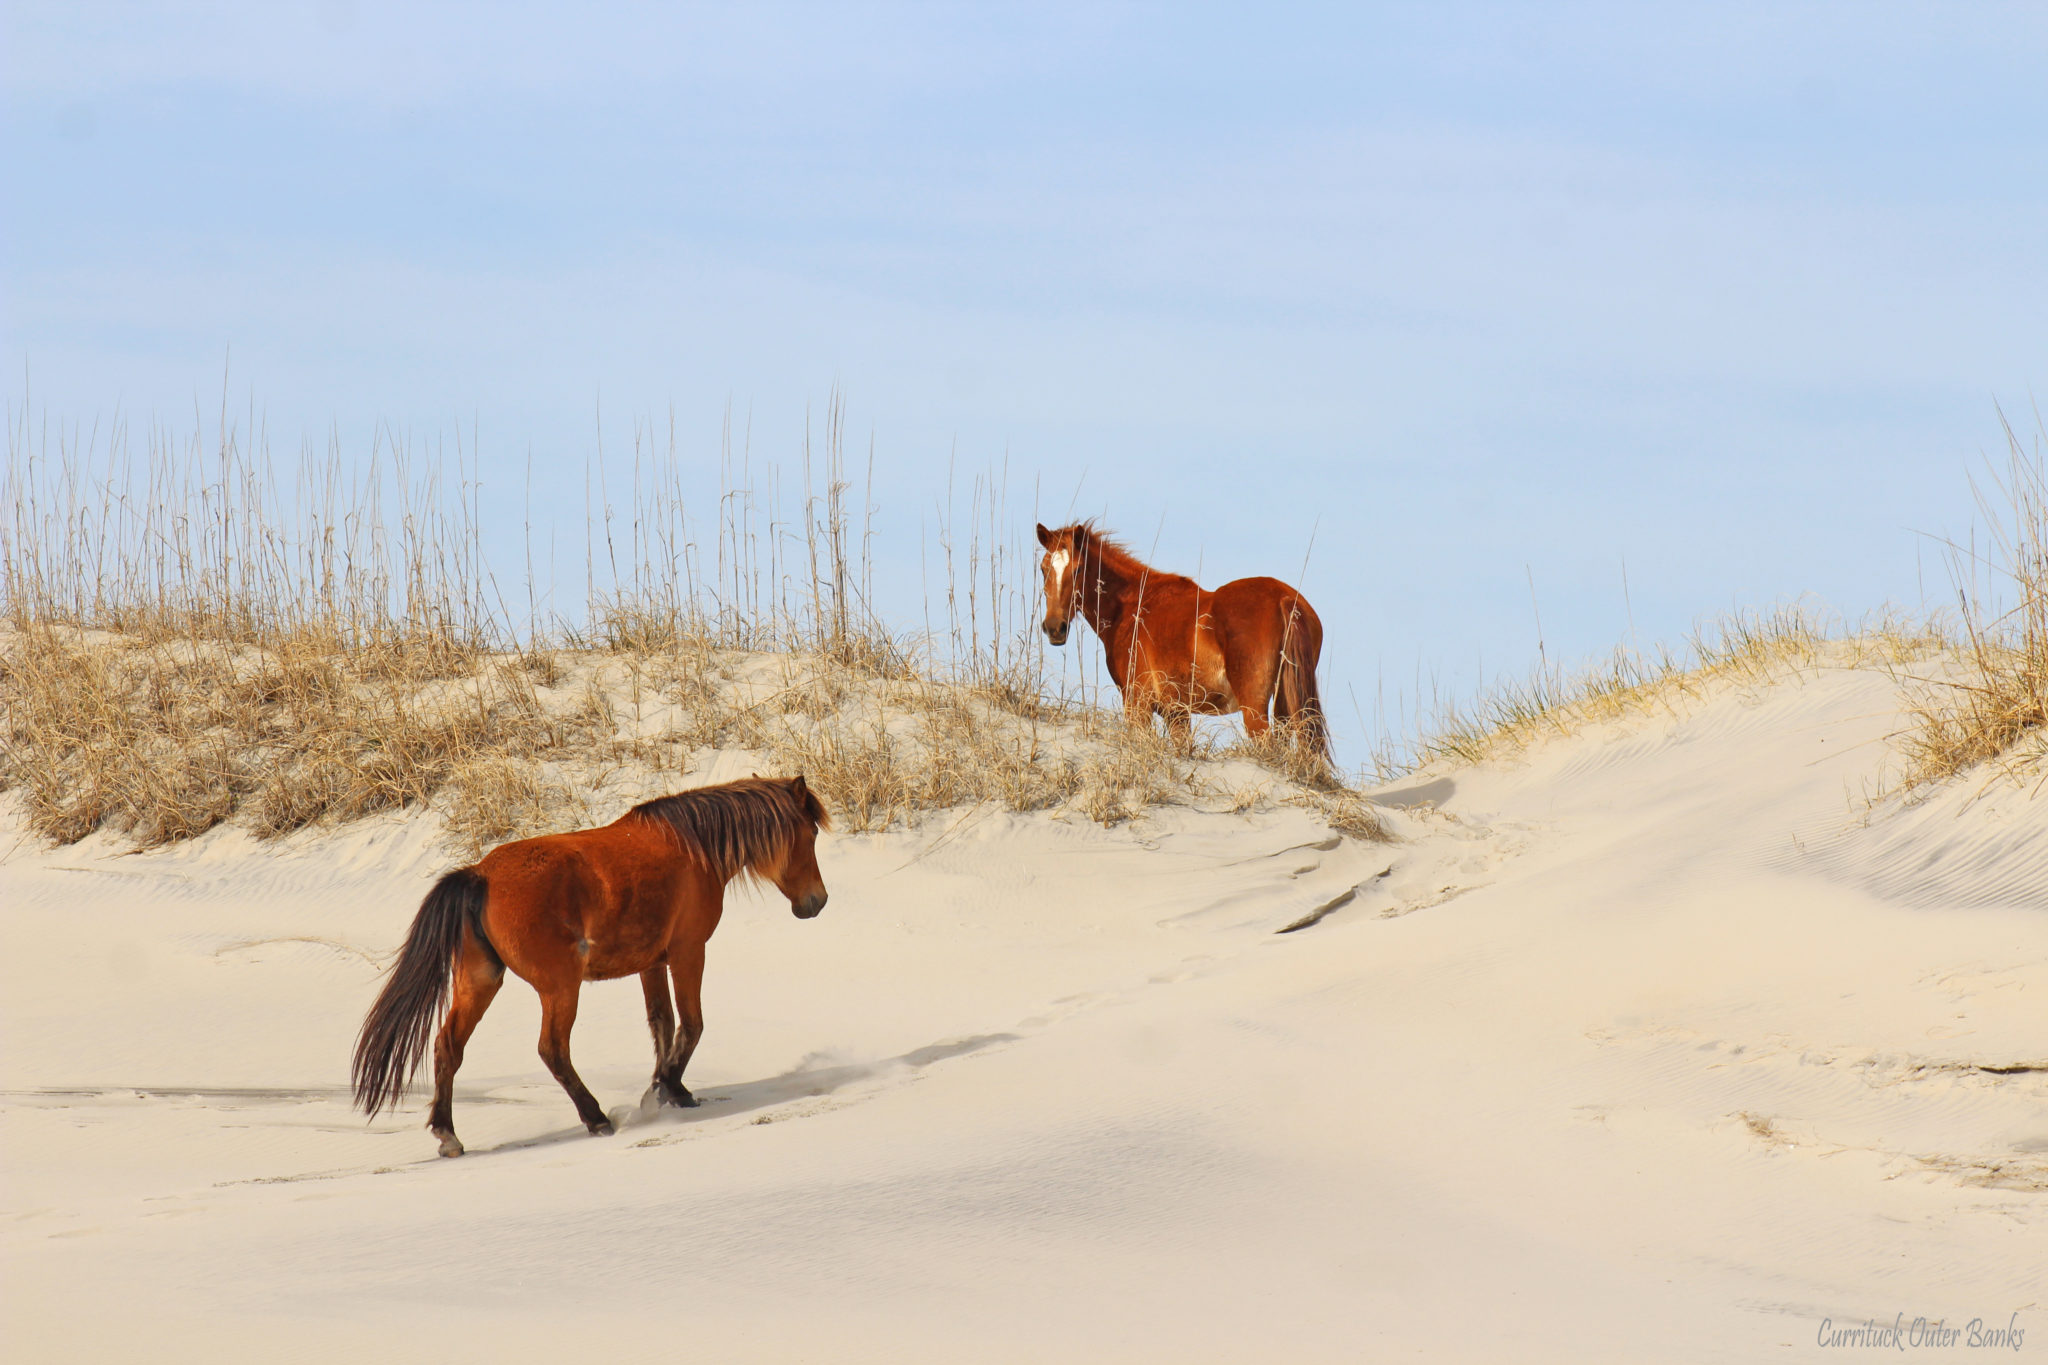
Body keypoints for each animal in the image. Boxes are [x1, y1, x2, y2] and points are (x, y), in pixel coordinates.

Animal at [356, 777, 827, 1154]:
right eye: (810, 834)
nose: (816, 902)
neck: (693, 848)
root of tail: (480, 875)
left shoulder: (651, 963)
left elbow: (662, 1025)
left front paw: (669, 1089)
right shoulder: (688, 951)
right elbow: (691, 1025)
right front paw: (665, 1089)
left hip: (480, 980)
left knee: (448, 1046)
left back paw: (448, 1135)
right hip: (560, 987)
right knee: (552, 1049)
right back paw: (596, 1118)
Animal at [1040, 519, 1327, 765]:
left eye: (1078, 569)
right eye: (1043, 568)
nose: (1054, 627)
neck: (1133, 606)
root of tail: (1285, 600)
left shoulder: (1138, 703)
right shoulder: (1175, 711)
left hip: (1255, 710)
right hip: (1285, 709)